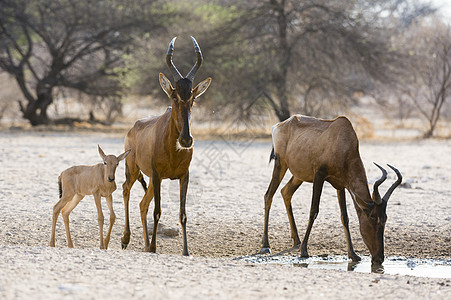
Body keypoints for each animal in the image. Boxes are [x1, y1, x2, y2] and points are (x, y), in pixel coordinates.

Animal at [120, 35, 212, 255]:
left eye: (193, 98)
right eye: (174, 95)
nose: (186, 140)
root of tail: (133, 128)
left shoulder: (183, 176)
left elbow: (182, 214)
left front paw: (186, 251)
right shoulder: (157, 175)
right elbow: (157, 211)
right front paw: (154, 248)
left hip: (151, 180)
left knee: (142, 204)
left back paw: (145, 246)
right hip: (134, 170)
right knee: (126, 189)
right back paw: (126, 239)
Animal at [262, 115, 402, 264]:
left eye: (385, 218)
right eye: (373, 217)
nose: (379, 258)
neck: (343, 140)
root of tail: (280, 124)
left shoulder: (341, 185)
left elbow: (344, 217)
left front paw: (353, 255)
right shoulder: (319, 175)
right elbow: (313, 211)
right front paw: (304, 251)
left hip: (299, 175)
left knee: (286, 192)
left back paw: (297, 241)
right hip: (280, 164)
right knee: (268, 195)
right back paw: (266, 246)